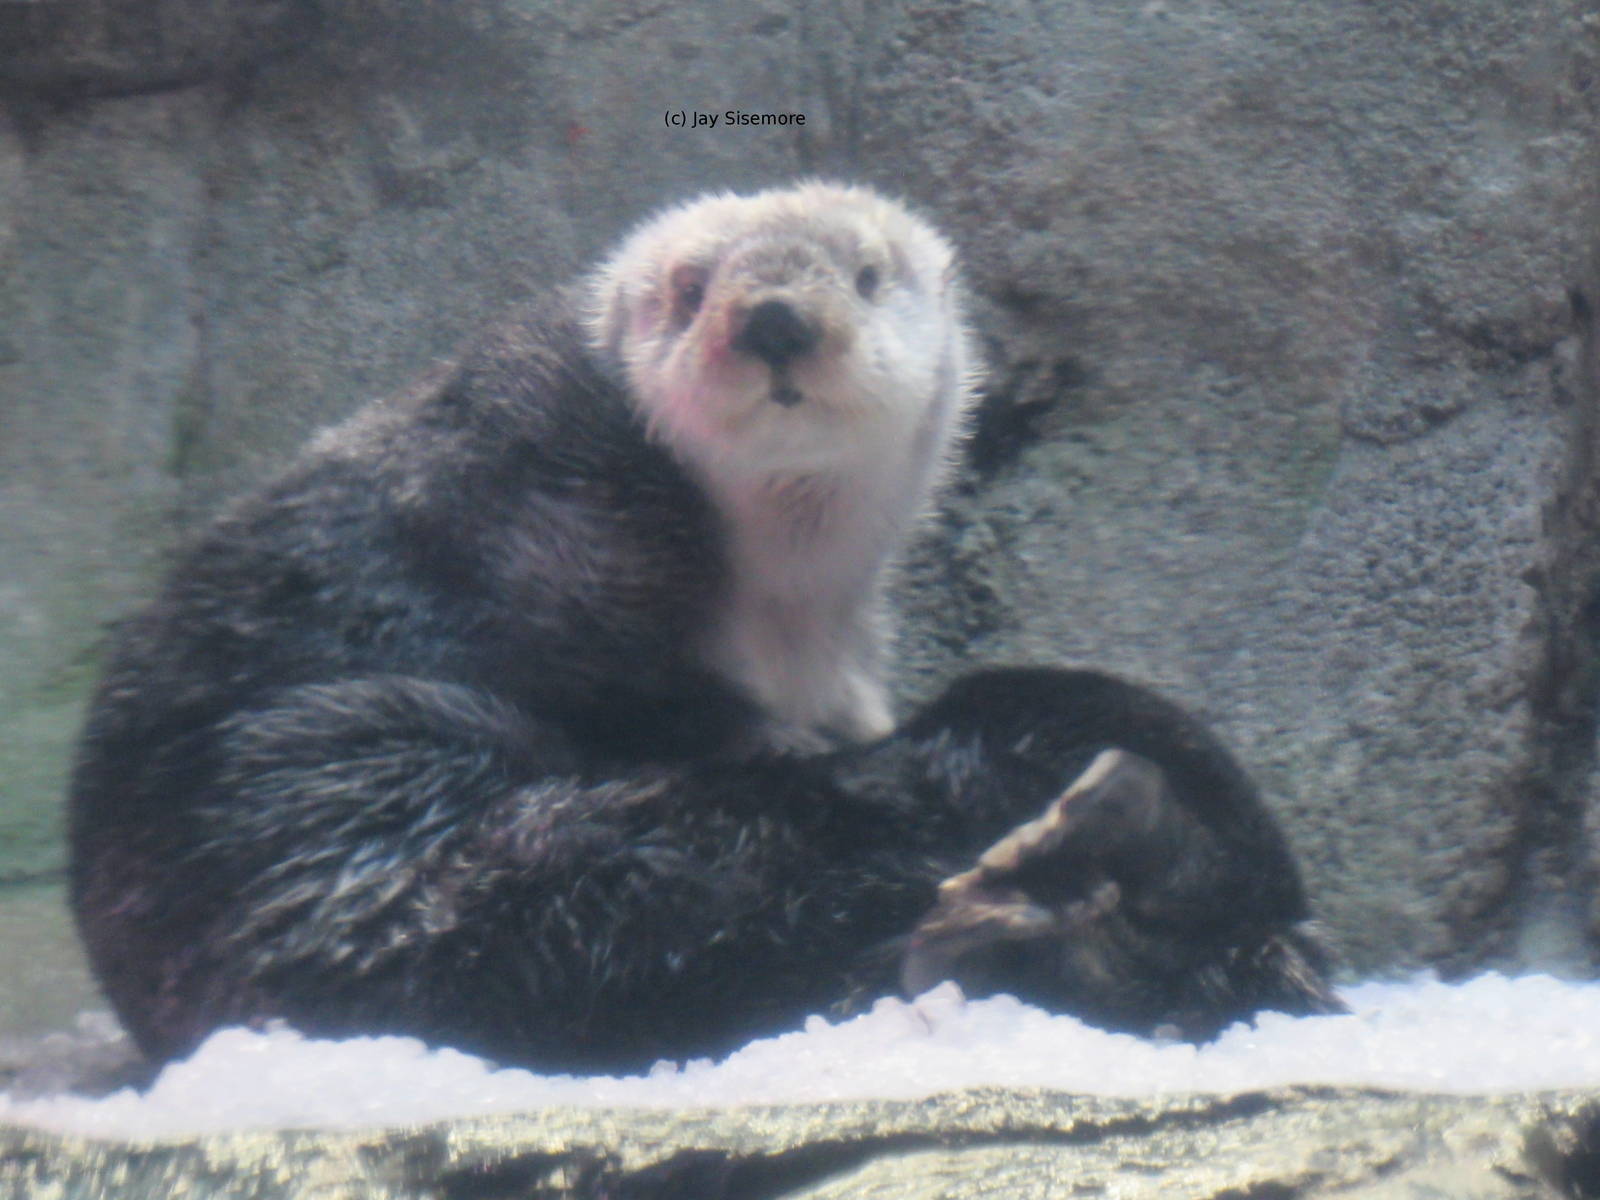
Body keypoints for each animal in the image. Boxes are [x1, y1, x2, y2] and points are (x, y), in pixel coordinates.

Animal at [69, 183, 1341, 1074]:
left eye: (866, 275)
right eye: (689, 288)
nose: (773, 317)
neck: (780, 576)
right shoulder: (553, 504)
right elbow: (608, 669)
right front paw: (766, 737)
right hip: (393, 855)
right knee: (678, 888)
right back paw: (1054, 874)